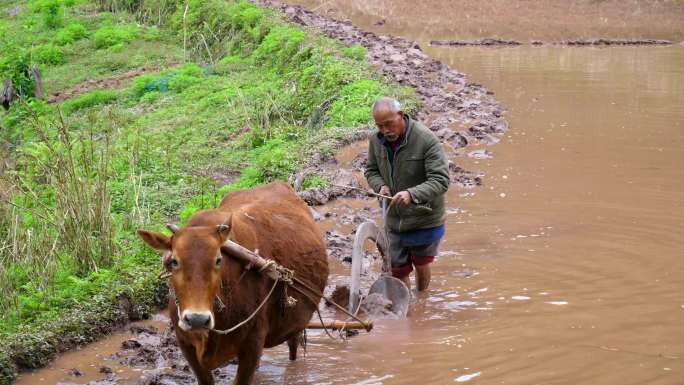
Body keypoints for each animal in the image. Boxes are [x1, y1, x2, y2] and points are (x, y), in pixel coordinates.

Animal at [137, 182, 328, 382]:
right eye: (174, 261)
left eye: (218, 260)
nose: (197, 319)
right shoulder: (186, 344)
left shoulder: (253, 344)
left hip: (295, 324)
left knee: (293, 348)